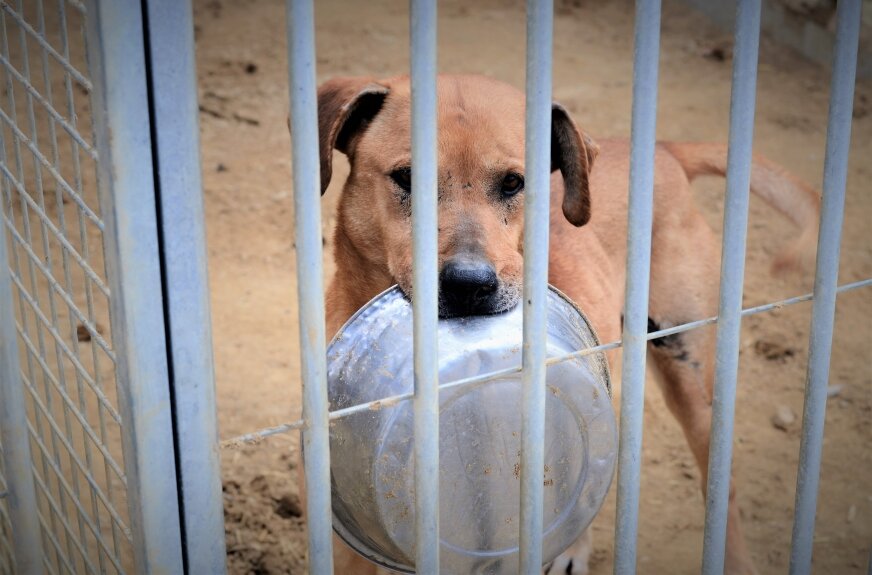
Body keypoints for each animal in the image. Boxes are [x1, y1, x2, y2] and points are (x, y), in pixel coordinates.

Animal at [300, 74, 816, 572]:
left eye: (514, 183)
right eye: (407, 178)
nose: (469, 285)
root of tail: (665, 152)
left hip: (687, 371)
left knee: (716, 486)